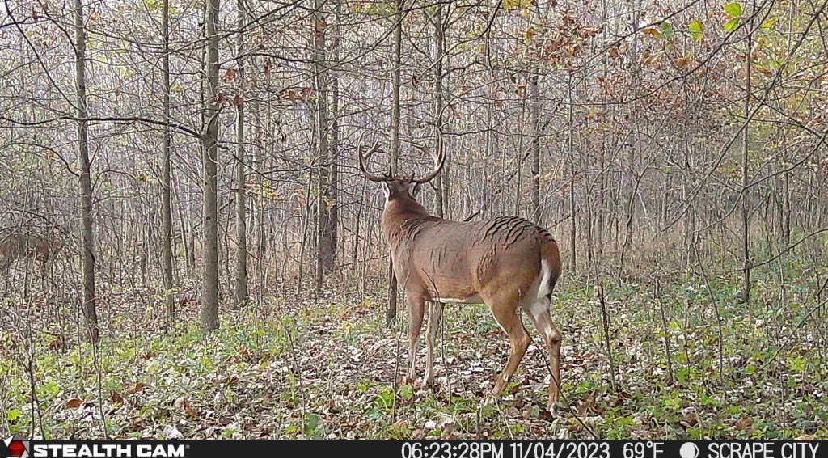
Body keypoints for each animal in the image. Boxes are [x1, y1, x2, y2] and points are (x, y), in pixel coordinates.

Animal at [359, 143, 564, 413]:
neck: (403, 227)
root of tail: (542, 238)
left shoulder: (413, 288)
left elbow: (413, 333)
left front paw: (410, 379)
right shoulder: (437, 296)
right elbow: (431, 335)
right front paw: (428, 380)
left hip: (501, 292)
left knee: (521, 339)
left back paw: (492, 395)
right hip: (535, 297)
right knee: (553, 335)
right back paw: (553, 401)